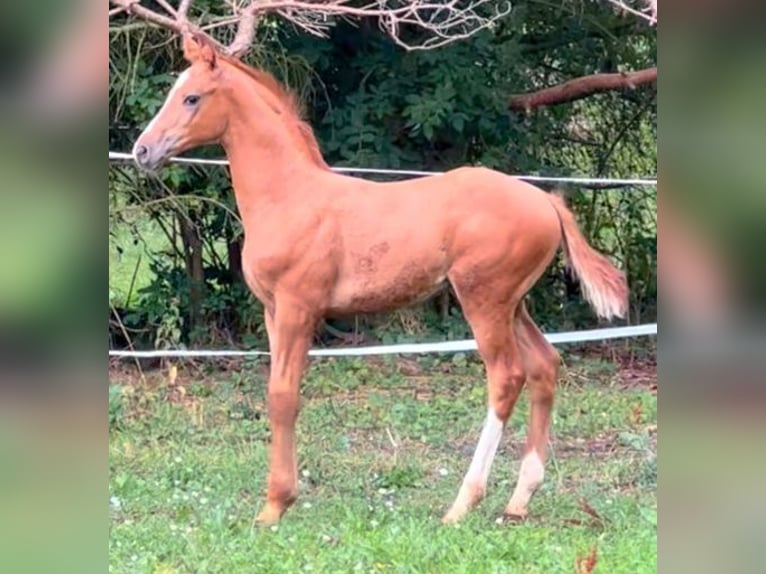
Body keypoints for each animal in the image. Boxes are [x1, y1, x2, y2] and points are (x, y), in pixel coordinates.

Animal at [134, 31, 632, 528]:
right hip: (514, 304)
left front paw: (274, 505)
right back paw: (519, 499)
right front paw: (281, 498)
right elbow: (280, 395)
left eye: (192, 97)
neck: (290, 197)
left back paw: (462, 503)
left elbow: (283, 397)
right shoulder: (273, 311)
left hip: (484, 301)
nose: (143, 150)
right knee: (545, 365)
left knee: (506, 377)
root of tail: (546, 201)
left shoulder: (299, 308)